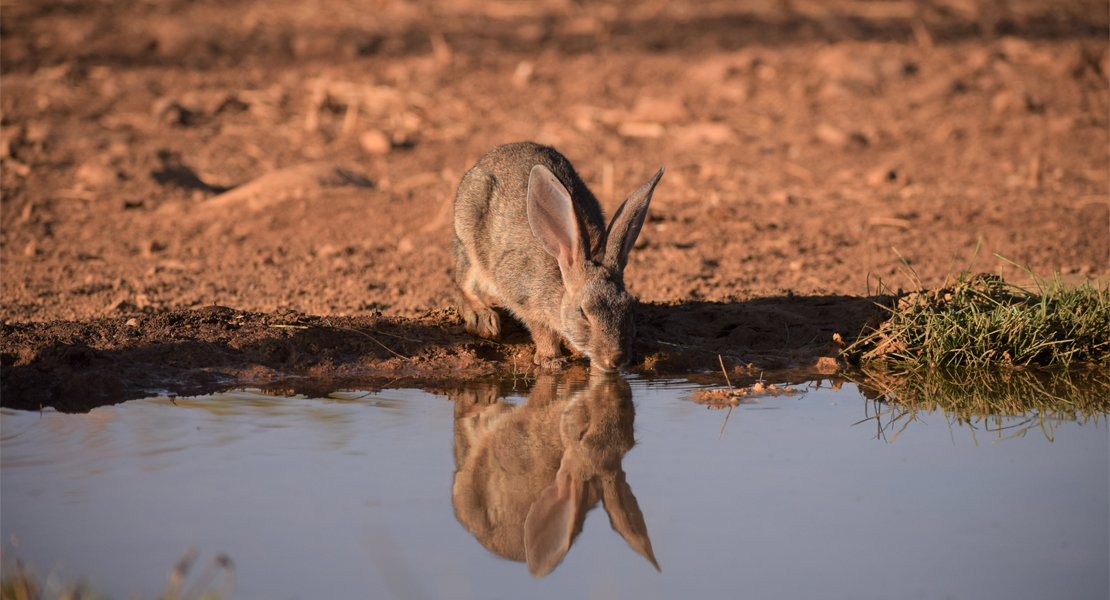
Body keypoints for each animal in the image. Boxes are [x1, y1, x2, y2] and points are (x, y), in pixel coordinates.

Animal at [448, 143, 657, 372]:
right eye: (583, 313)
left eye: (630, 308)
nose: (616, 360)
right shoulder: (524, 296)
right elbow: (540, 329)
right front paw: (551, 360)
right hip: (469, 238)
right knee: (462, 285)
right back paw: (483, 320)